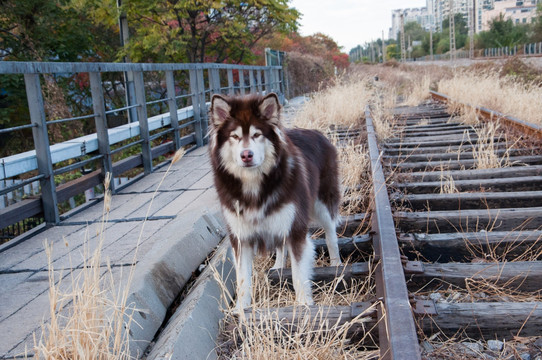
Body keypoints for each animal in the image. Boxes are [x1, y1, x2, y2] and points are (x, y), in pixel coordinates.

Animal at [210, 93, 342, 312]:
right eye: (234, 137)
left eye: (257, 135)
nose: (246, 155)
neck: (254, 185)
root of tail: (317, 132)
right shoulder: (240, 236)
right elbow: (243, 279)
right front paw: (241, 310)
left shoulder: (295, 227)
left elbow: (298, 274)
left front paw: (303, 304)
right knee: (280, 245)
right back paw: (278, 267)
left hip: (322, 202)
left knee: (331, 232)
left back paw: (337, 263)